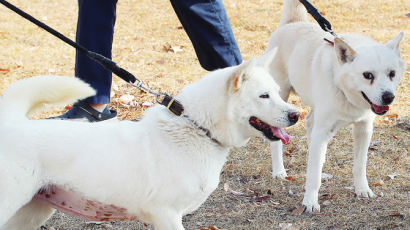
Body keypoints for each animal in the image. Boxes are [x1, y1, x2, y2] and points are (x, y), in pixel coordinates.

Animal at [0, 49, 296, 229]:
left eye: (277, 92)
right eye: (263, 96)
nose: (296, 115)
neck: (196, 129)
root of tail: (11, 123)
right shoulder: (166, 214)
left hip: (30, 213)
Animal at [268, 0, 406, 212]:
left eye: (392, 74)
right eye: (367, 75)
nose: (388, 97)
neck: (344, 90)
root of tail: (292, 23)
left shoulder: (364, 129)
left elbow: (360, 165)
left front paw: (362, 190)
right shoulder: (324, 128)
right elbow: (313, 175)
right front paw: (310, 201)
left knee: (310, 127)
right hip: (281, 98)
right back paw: (279, 170)